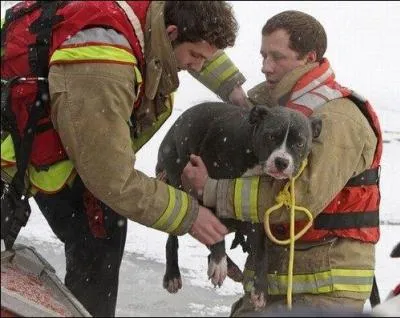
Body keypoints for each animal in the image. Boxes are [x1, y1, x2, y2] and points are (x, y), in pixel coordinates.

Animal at [156, 101, 322, 308]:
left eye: (299, 143)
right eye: (271, 136)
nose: (282, 161)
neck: (252, 154)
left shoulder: (255, 206)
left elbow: (261, 252)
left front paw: (260, 289)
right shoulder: (206, 182)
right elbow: (213, 229)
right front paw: (218, 263)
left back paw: (232, 268)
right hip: (176, 180)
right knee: (175, 236)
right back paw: (174, 274)